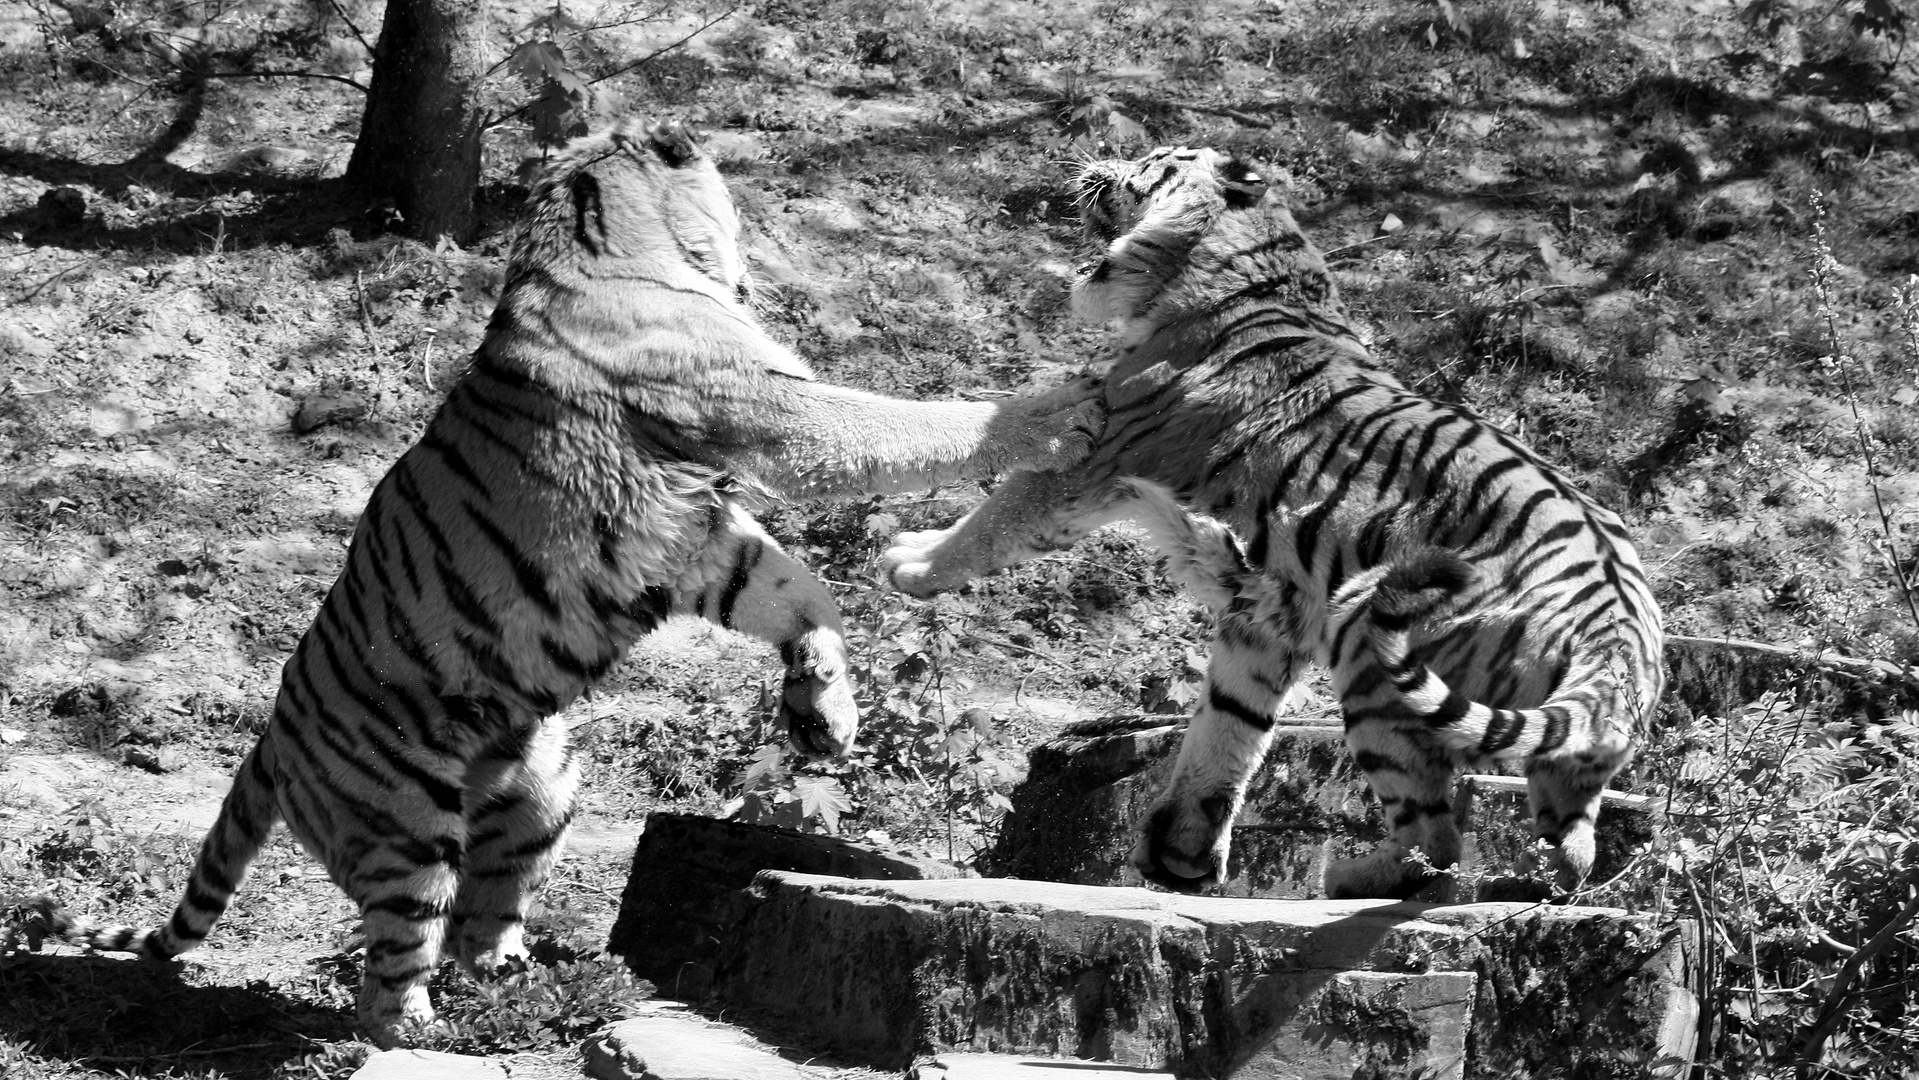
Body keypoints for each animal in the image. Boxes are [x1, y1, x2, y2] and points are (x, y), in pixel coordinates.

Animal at [7, 120, 1105, 1051]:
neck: (592, 232)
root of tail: (270, 740)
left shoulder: (697, 538)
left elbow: (801, 590)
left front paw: (821, 713)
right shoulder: (769, 413)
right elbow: (905, 424)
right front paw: (1054, 410)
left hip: (543, 784)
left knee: (479, 918)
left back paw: (531, 980)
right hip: (404, 822)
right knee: (389, 973)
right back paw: (433, 1030)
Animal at [882, 143, 1665, 905]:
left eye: (1149, 156)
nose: (1091, 159)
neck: (1248, 274)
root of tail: (1623, 633)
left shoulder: (1094, 457)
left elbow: (995, 518)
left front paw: (910, 562)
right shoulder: (1268, 614)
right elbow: (1228, 727)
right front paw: (1182, 854)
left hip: (1370, 648)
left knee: (1437, 834)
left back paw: (1350, 880)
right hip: (1558, 758)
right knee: (1574, 848)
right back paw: (1517, 884)